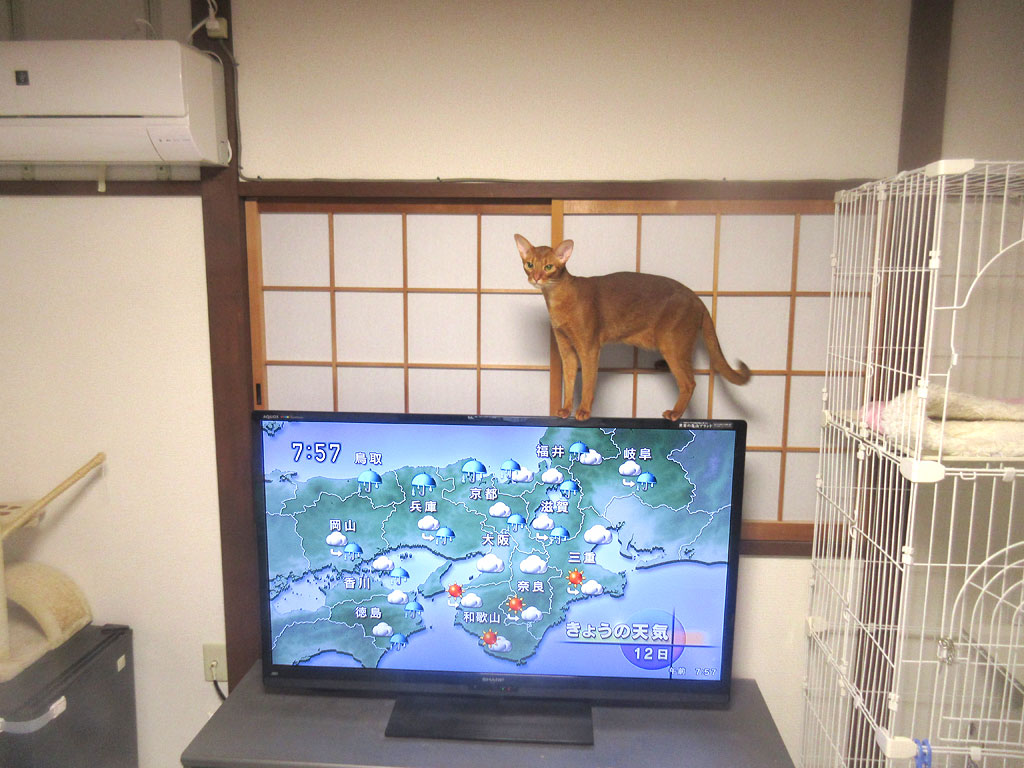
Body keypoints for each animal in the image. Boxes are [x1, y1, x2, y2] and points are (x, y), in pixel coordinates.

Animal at [515, 234, 751, 421]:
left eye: (548, 267)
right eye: (529, 264)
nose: (536, 277)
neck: (557, 298)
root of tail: (698, 298)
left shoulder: (589, 347)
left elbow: (589, 382)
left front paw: (583, 411)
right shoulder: (566, 348)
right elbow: (570, 380)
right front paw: (565, 410)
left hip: (672, 343)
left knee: (689, 383)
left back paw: (674, 413)